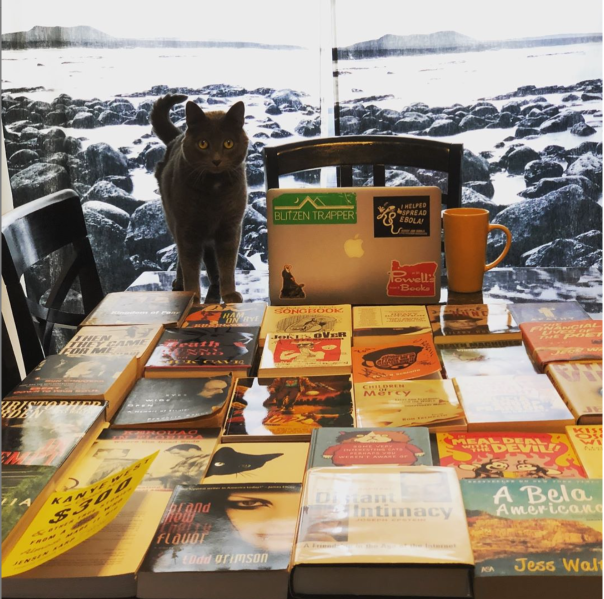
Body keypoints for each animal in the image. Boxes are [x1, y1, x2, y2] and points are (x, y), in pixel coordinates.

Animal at [150, 93, 249, 303]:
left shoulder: (231, 227)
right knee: (182, 258)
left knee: (210, 257)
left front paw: (230, 294)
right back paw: (180, 283)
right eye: (203, 143)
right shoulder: (187, 229)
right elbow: (190, 267)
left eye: (228, 143)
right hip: (172, 218)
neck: (215, 190)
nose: (216, 160)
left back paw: (216, 279)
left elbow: (228, 265)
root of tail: (176, 137)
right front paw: (193, 297)